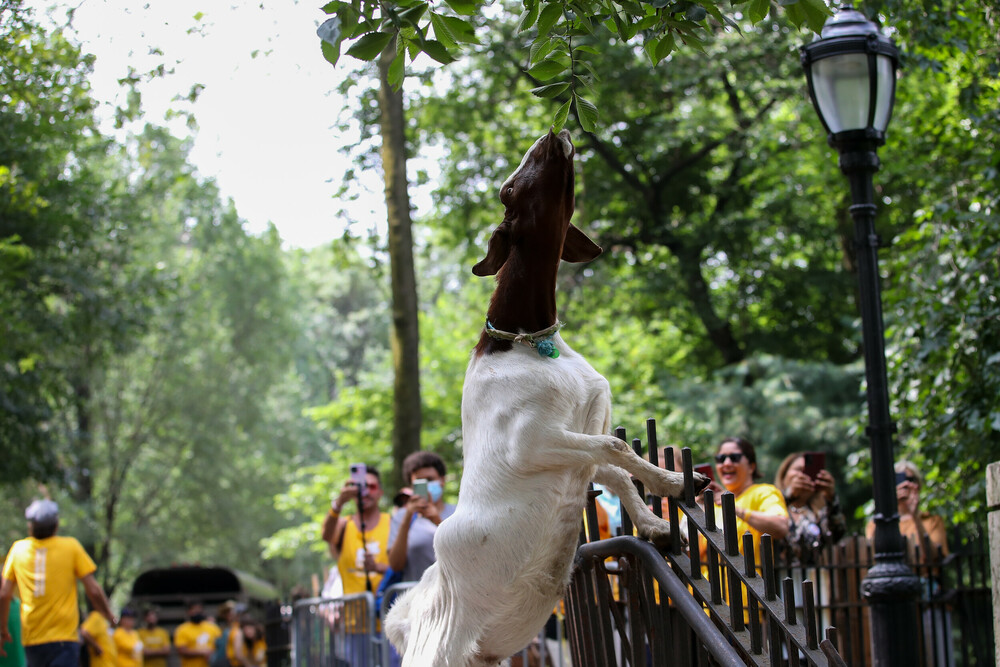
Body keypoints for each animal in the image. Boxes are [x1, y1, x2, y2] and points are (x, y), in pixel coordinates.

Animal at [384, 128, 712, 664]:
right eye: (508, 191)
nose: (551, 134)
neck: (526, 340)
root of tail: (408, 621)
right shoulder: (533, 440)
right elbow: (616, 448)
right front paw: (672, 483)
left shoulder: (577, 442)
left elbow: (614, 470)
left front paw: (657, 518)